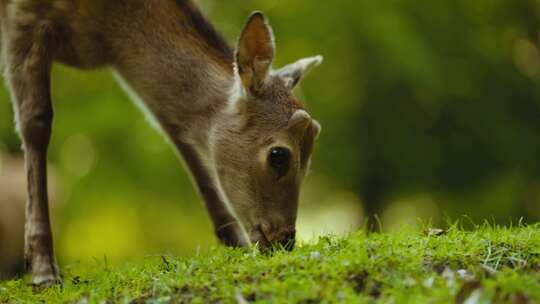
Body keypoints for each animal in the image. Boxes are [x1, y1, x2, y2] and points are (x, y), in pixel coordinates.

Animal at [0, 0, 320, 286]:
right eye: (278, 155)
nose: (285, 240)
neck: (103, 32)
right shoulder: (23, 16)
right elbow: (36, 122)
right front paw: (43, 270)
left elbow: (177, 135)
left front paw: (235, 243)